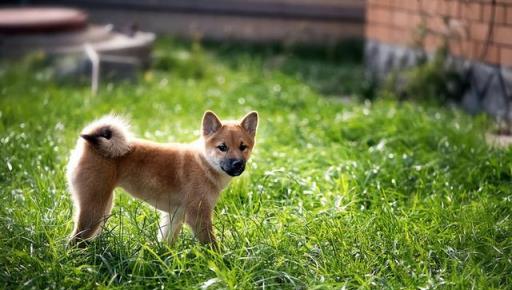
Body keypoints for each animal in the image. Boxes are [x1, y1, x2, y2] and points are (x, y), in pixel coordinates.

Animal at [67, 111, 260, 247]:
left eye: (243, 147)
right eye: (222, 147)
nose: (237, 164)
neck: (203, 163)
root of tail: (89, 144)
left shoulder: (175, 215)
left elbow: (166, 242)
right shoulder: (198, 216)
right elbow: (212, 245)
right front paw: (221, 262)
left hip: (103, 207)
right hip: (94, 210)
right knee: (73, 241)